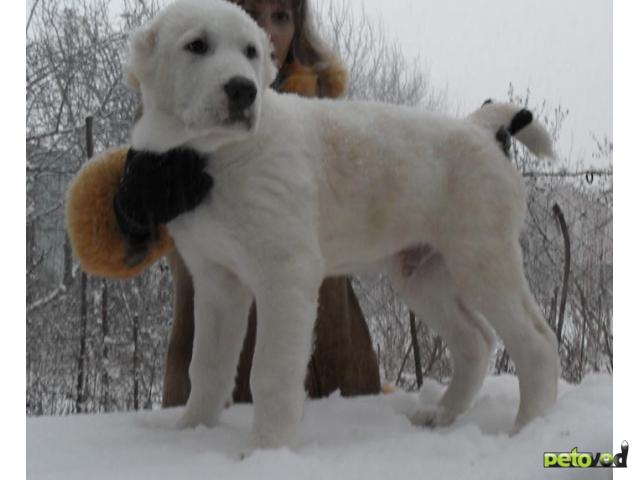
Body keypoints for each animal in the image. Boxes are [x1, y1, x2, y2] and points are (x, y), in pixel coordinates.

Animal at [129, 0, 560, 450]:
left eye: (251, 52)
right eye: (196, 45)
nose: (243, 90)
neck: (216, 156)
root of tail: (482, 131)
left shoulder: (285, 272)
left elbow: (270, 372)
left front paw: (266, 447)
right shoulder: (217, 282)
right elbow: (208, 366)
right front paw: (191, 430)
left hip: (482, 259)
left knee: (537, 341)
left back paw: (528, 428)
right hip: (423, 274)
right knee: (475, 339)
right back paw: (442, 414)